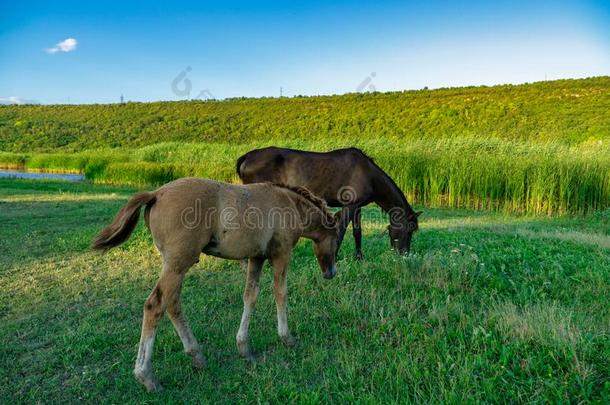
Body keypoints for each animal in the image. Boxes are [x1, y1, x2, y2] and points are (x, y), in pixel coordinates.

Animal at [91, 178, 338, 392]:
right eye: (337, 238)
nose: (331, 273)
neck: (289, 205)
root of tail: (156, 194)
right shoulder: (281, 254)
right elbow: (280, 293)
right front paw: (287, 338)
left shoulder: (256, 257)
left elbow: (250, 295)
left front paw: (244, 348)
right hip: (179, 263)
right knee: (155, 305)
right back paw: (147, 376)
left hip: (174, 264)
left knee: (172, 303)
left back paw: (197, 356)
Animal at [234, 147, 418, 258]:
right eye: (409, 230)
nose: (405, 254)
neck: (368, 174)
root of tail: (247, 157)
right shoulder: (349, 205)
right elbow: (341, 230)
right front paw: (334, 256)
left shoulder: (357, 207)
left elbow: (357, 232)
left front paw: (359, 257)